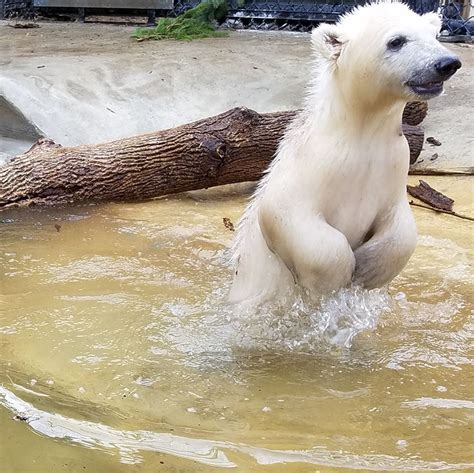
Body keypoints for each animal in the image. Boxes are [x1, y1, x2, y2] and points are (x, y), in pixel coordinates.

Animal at [230, 0, 460, 302]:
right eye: (396, 41)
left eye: (434, 36)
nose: (447, 63)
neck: (358, 131)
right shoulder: (314, 161)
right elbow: (285, 211)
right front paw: (335, 277)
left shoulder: (393, 162)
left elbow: (401, 228)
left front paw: (369, 269)